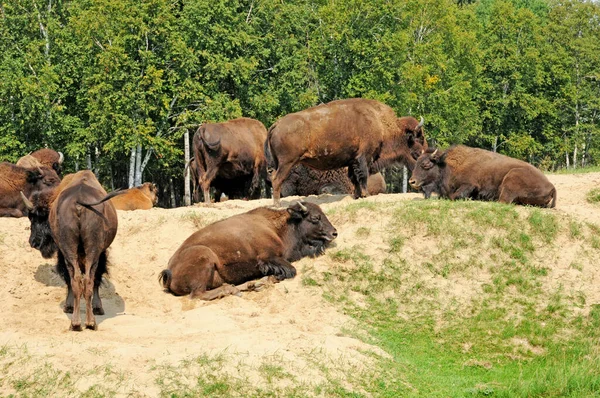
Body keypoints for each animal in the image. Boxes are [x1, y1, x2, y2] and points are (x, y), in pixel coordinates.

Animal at [21, 170, 119, 330]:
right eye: (31, 217)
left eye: (37, 218)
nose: (34, 242)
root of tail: (79, 202)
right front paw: (96, 308)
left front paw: (68, 306)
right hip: (91, 252)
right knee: (86, 280)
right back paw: (86, 322)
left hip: (70, 252)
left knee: (78, 279)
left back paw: (77, 321)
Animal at [159, 201, 338, 300]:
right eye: (315, 217)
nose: (334, 232)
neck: (279, 227)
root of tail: (170, 270)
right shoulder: (268, 257)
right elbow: (290, 270)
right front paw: (265, 281)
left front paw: (259, 282)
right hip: (205, 257)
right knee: (198, 294)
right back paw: (232, 289)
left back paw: (248, 285)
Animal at [264, 98, 424, 207]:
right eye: (419, 138)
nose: (424, 152)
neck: (380, 123)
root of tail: (276, 124)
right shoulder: (363, 158)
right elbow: (362, 176)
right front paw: (365, 195)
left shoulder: (352, 161)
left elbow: (354, 178)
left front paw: (357, 196)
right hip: (287, 163)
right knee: (277, 180)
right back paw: (278, 205)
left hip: (280, 163)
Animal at [408, 146, 556, 208]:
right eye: (417, 162)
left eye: (426, 164)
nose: (412, 181)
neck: (447, 165)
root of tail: (552, 186)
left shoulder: (470, 185)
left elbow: (453, 196)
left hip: (511, 178)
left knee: (503, 201)